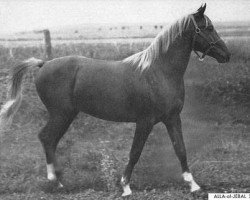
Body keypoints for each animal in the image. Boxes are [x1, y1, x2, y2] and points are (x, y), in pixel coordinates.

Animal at [0, 3, 230, 197]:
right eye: (208, 28)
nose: (226, 55)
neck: (158, 72)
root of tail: (43, 64)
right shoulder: (145, 122)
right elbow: (135, 152)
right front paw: (125, 187)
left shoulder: (172, 118)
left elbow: (180, 149)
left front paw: (193, 185)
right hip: (61, 115)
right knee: (47, 138)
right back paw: (55, 181)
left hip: (65, 115)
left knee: (51, 140)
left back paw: (59, 179)